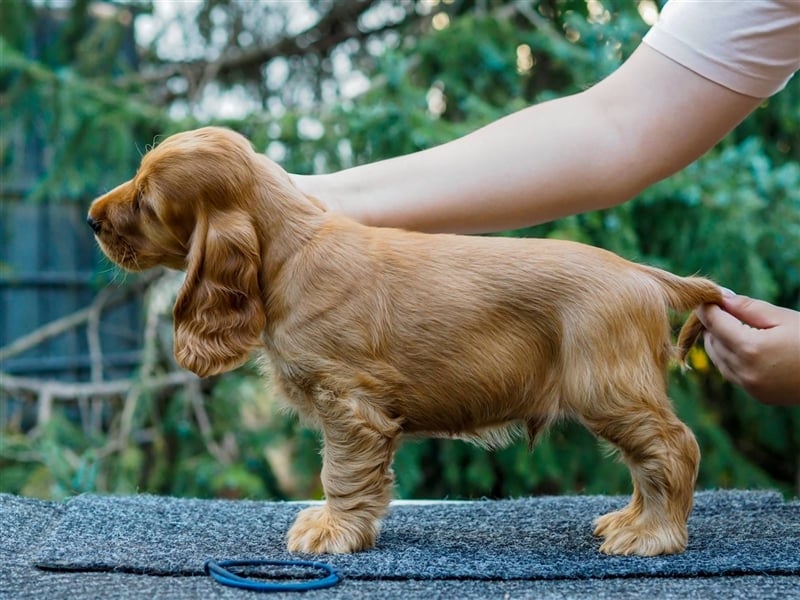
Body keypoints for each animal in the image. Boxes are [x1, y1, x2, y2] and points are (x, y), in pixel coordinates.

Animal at [87, 126, 720, 556]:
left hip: (607, 387)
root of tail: (641, 273)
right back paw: (630, 520)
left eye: (146, 201)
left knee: (673, 447)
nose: (91, 218)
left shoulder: (349, 403)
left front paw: (333, 531)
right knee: (651, 458)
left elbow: (341, 473)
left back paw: (653, 534)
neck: (290, 251)